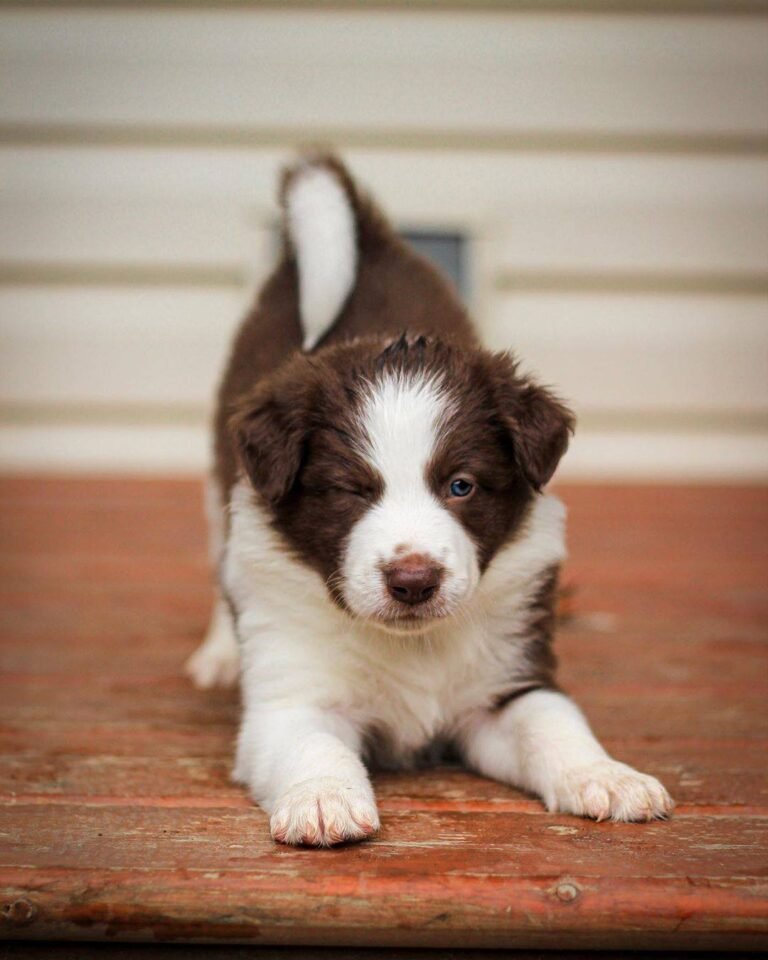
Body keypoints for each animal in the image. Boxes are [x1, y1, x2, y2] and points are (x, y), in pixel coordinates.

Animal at [186, 154, 672, 844]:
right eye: (349, 490)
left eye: (460, 486)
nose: (413, 581)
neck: (414, 644)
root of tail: (372, 237)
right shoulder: (290, 699)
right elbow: (313, 744)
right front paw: (322, 798)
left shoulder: (508, 683)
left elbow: (554, 725)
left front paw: (607, 775)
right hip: (220, 470)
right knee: (218, 554)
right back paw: (220, 653)